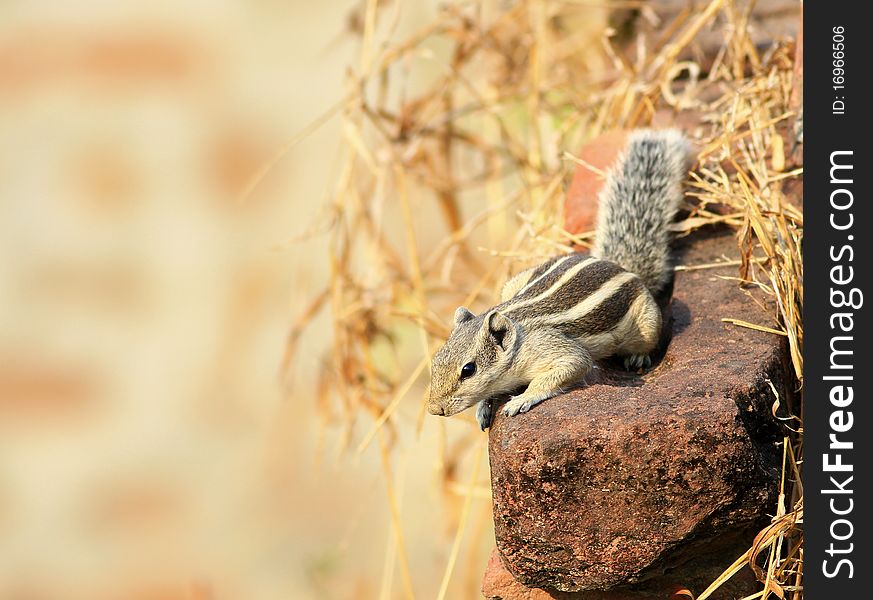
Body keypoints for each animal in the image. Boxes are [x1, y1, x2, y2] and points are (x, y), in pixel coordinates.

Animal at [426, 130, 692, 432]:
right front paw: (483, 407)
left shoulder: (552, 347)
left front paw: (521, 399)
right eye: (437, 358)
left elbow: (572, 365)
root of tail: (618, 263)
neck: (517, 339)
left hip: (647, 320)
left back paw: (637, 356)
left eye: (468, 370)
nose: (434, 409)